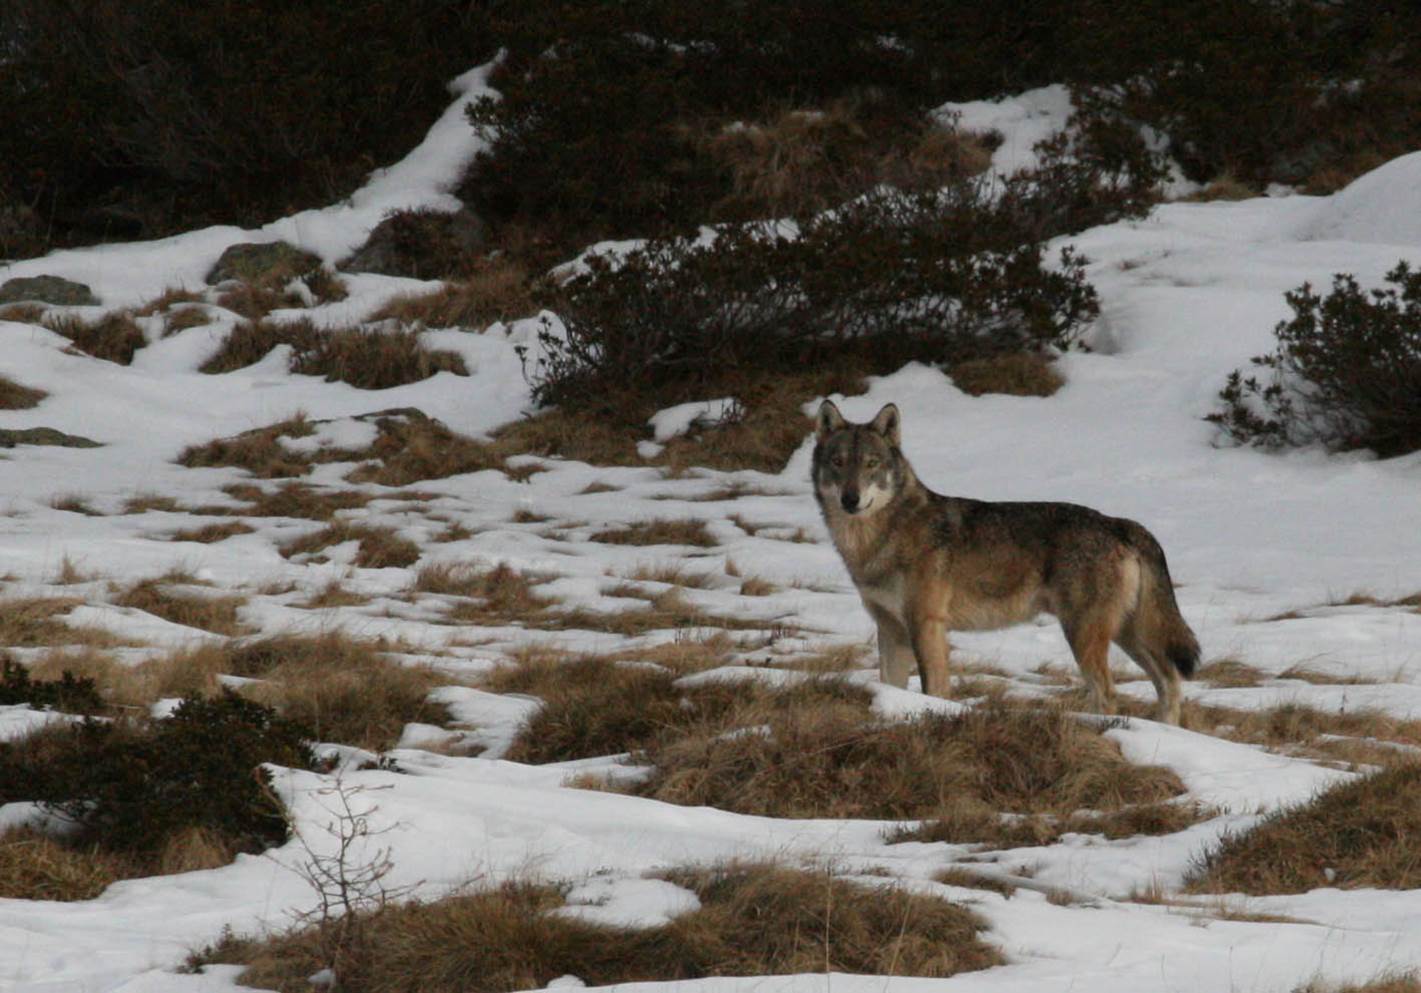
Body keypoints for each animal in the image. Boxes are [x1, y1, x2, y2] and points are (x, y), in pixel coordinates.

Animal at [812, 400, 1199, 724]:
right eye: (838, 463)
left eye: (871, 464)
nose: (850, 499)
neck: (878, 541)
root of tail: (1119, 522)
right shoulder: (890, 629)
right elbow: (890, 685)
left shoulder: (926, 625)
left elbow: (934, 689)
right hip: (1126, 633)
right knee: (1169, 682)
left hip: (1085, 633)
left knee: (1108, 693)